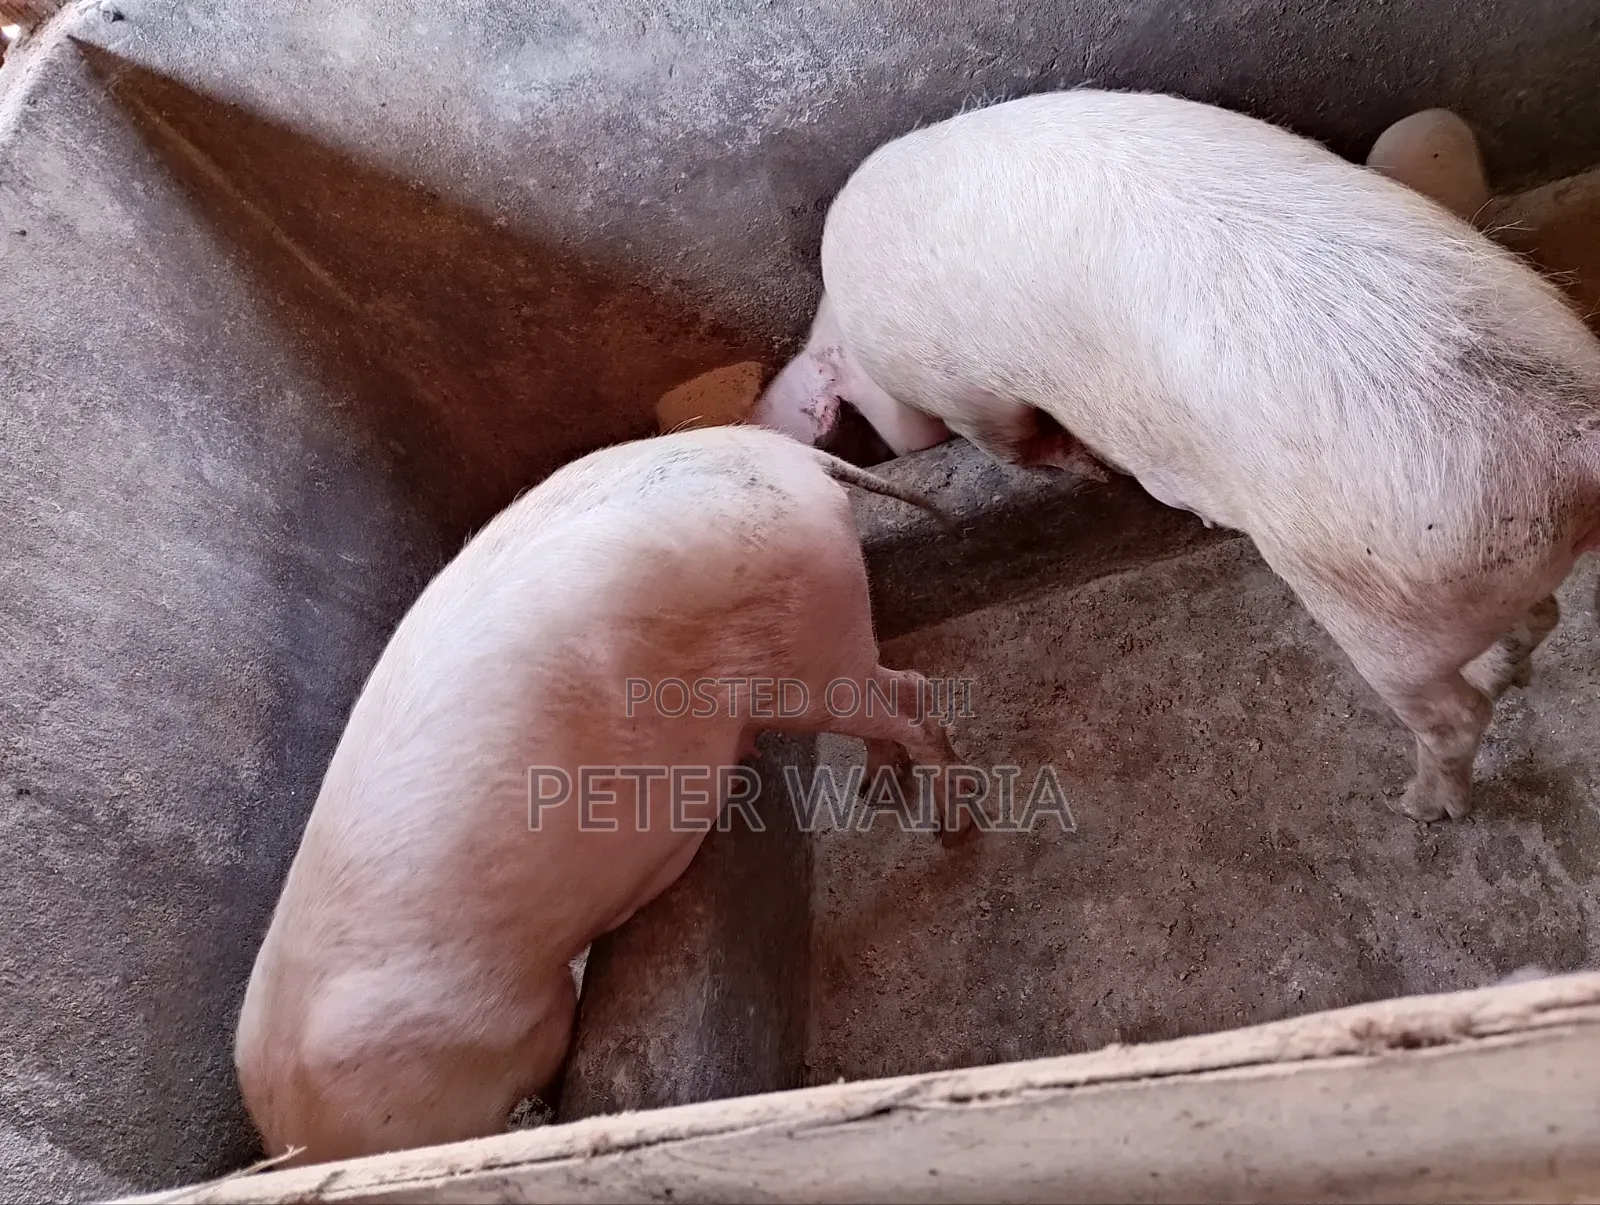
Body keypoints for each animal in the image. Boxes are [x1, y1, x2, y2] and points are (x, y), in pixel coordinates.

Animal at [234, 424, 965, 1167]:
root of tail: (785, 452)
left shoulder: (524, 1018)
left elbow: (552, 1033)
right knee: (893, 696)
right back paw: (875, 787)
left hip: (810, 658)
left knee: (915, 698)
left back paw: (951, 830)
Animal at [753, 88, 1600, 824]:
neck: (848, 331)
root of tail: (1576, 435)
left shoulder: (966, 392)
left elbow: (1017, 443)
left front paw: (1091, 464)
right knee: (1538, 616)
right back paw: (1503, 676)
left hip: (1390, 604)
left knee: (1455, 713)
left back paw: (1420, 808)